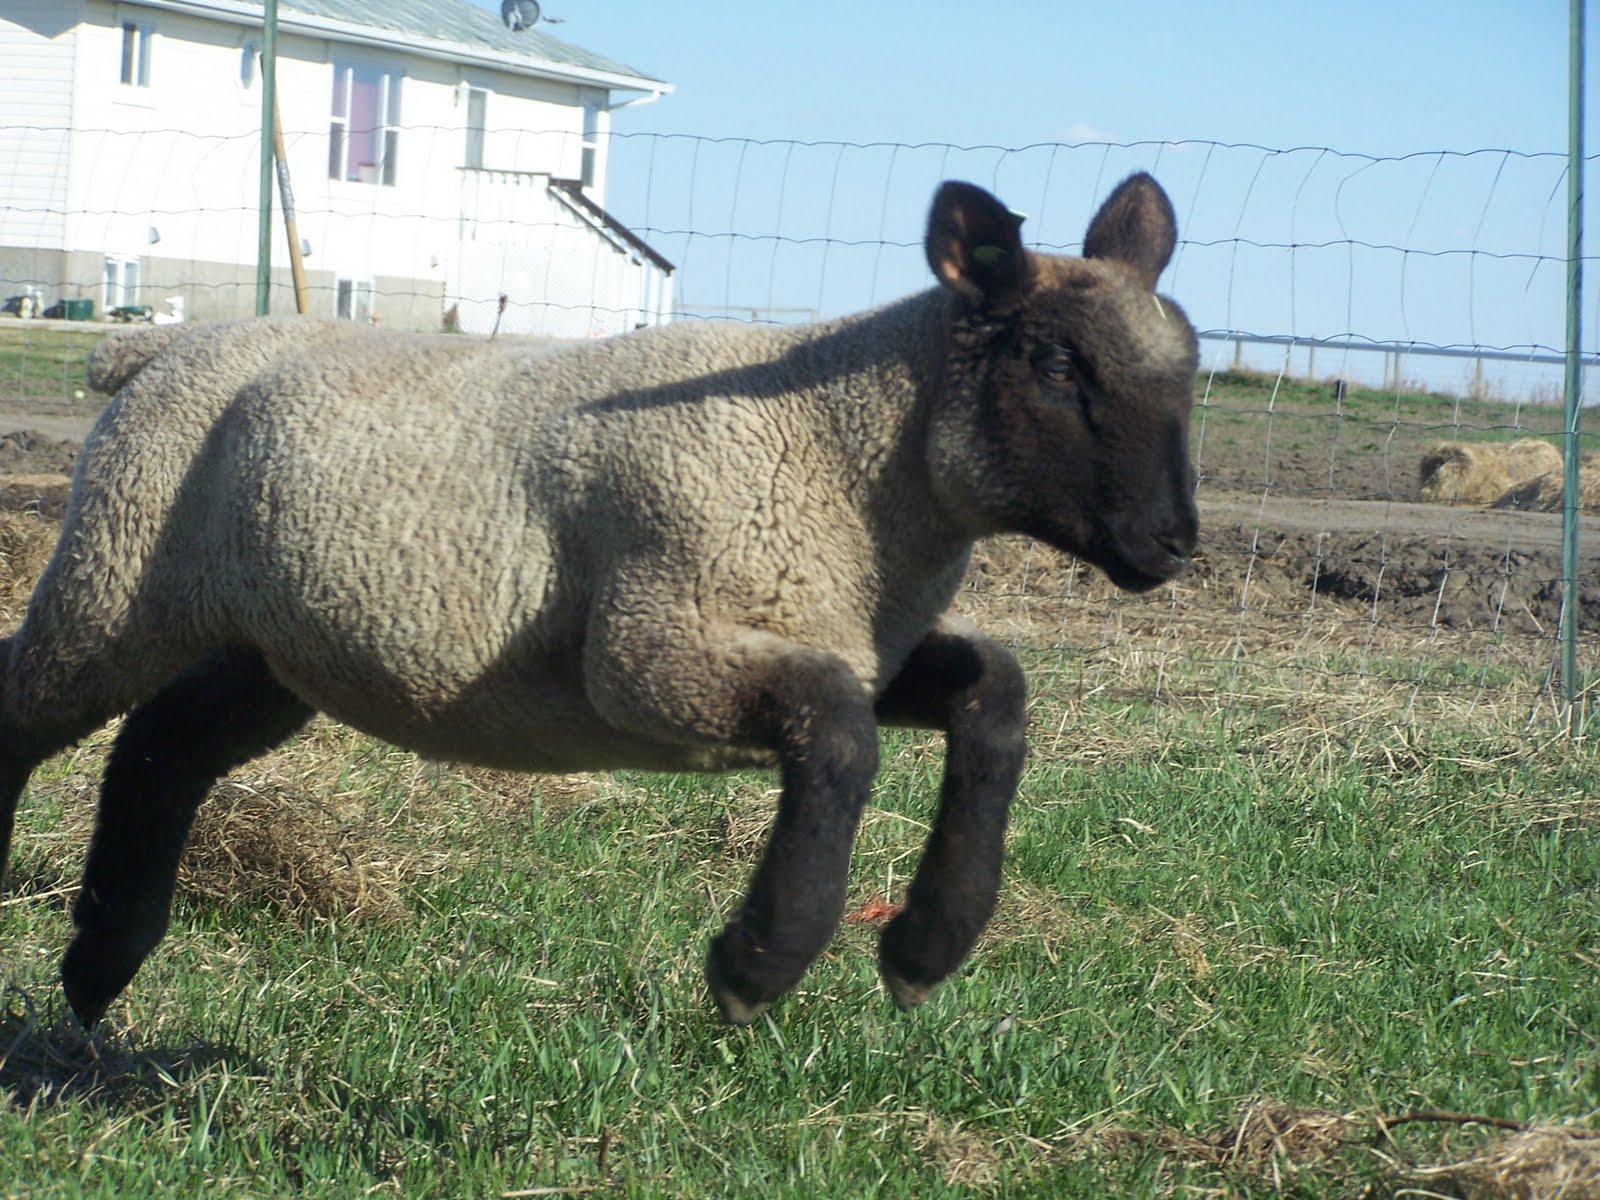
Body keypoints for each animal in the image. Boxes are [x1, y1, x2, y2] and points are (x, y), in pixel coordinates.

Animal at [0, 174, 1200, 1031]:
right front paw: (758, 963)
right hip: (119, 573)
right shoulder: (650, 652)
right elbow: (839, 736)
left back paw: (99, 967)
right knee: (31, 712)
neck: (840, 450)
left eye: (1187, 370)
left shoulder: (847, 640)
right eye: (1057, 365)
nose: (1174, 541)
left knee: (160, 748)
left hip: (271, 645)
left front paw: (924, 949)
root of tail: (158, 345)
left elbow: (991, 691)